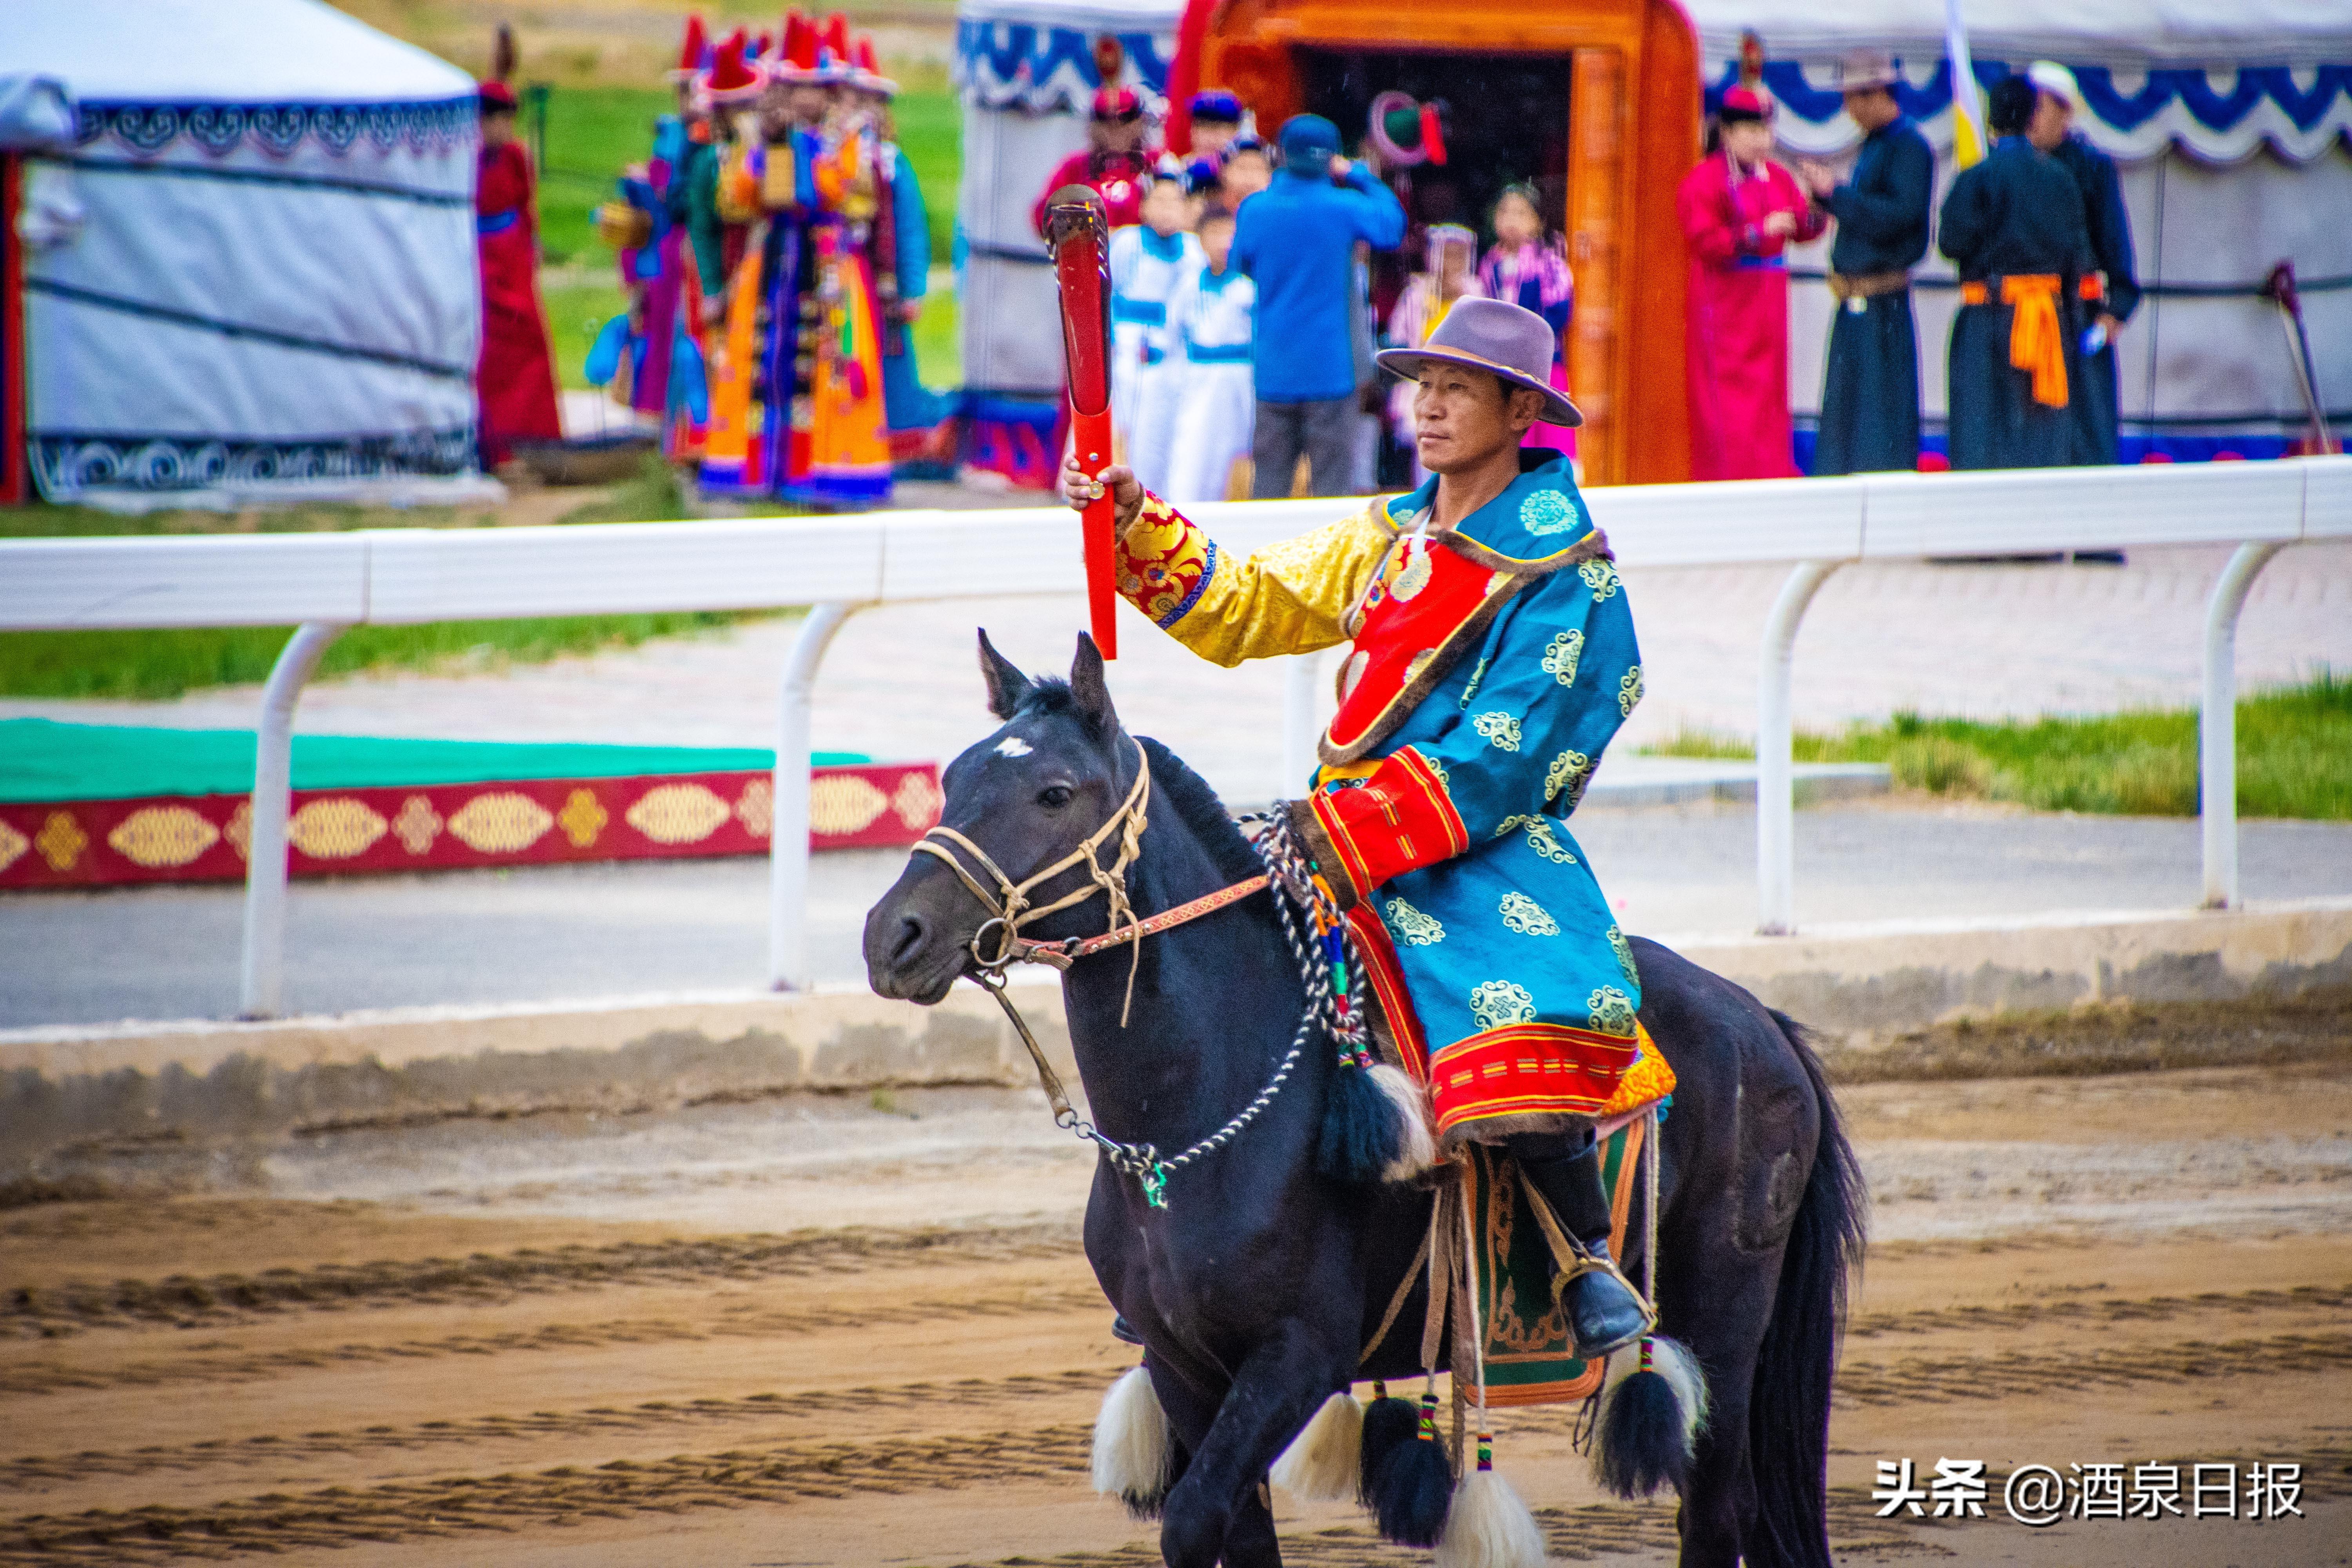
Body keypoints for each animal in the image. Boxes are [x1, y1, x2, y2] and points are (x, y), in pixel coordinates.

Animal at [870, 630, 1872, 1561]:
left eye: (1054, 791)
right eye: (952, 778)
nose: (892, 935)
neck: (1202, 1121)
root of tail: (1760, 1018)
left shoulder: (1297, 1356)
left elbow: (1191, 1519)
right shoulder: (1182, 1360)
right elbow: (1236, 1532)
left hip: (1727, 1319)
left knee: (1717, 1511)